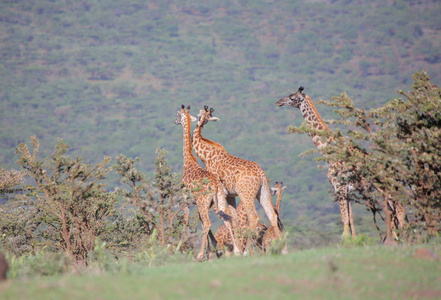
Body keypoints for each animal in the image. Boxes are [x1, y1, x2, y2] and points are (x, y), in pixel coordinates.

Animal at [174, 104, 239, 258]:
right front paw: (211, 250)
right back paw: (237, 250)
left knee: (209, 223)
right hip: (219, 200)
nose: (175, 121)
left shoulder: (186, 200)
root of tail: (215, 185)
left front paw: (182, 249)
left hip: (204, 202)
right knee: (228, 220)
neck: (188, 161)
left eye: (178, 115)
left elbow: (187, 222)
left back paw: (200, 255)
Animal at [192, 106, 282, 252]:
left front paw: (237, 250)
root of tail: (261, 175)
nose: (197, 119)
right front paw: (236, 249)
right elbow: (234, 220)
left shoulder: (220, 194)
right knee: (272, 215)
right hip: (262, 192)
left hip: (246, 194)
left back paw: (247, 251)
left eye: (200, 114)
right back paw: (283, 248)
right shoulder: (230, 195)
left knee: (253, 217)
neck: (205, 155)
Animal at [276, 87, 356, 239]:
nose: (278, 102)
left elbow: (345, 219)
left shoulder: (339, 186)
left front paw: (345, 240)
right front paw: (354, 240)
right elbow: (351, 220)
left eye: (292, 97)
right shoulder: (347, 190)